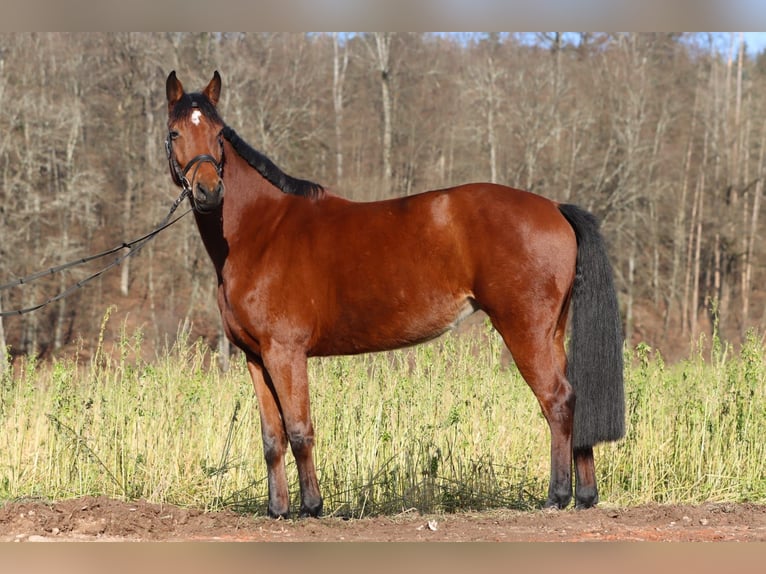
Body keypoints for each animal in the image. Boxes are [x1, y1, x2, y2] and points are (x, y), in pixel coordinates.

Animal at [164, 70, 624, 518]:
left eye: (219, 134)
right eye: (174, 132)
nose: (209, 191)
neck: (261, 230)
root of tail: (554, 207)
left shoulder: (285, 353)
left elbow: (298, 430)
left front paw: (312, 507)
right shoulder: (256, 357)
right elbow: (271, 437)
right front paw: (277, 510)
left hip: (525, 331)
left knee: (558, 400)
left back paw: (558, 496)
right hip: (551, 333)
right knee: (574, 398)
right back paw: (585, 495)